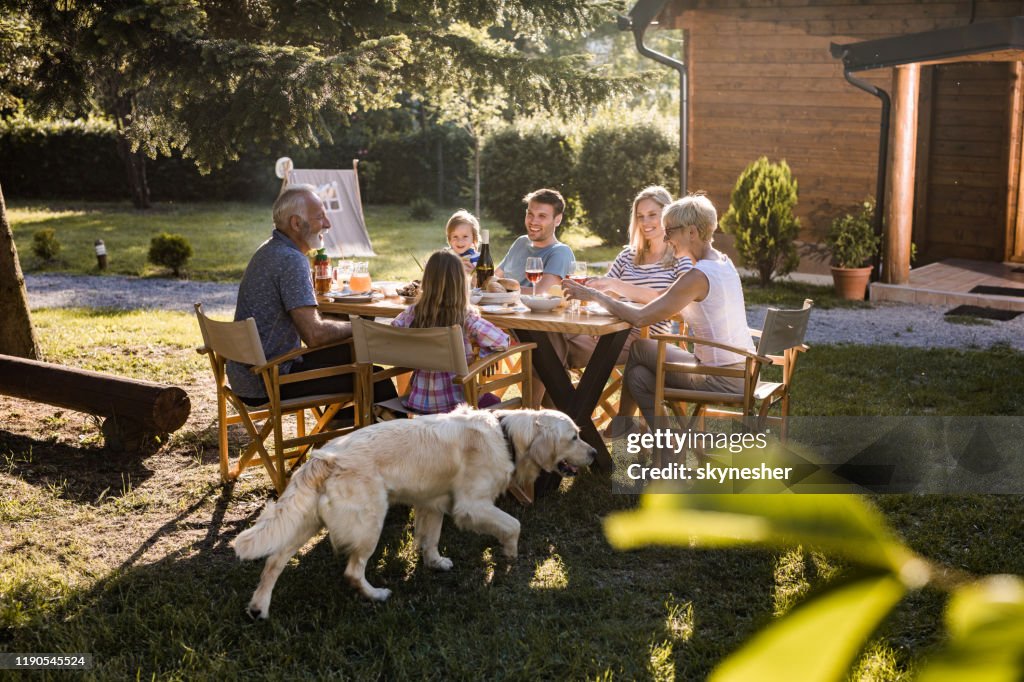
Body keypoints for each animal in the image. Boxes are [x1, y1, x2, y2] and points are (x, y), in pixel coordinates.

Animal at [234, 405, 593, 618]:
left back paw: (258, 607)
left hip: (305, 521)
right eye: (574, 436)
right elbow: (513, 524)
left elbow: (430, 539)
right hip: (369, 522)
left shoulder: (432, 502)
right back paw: (376, 594)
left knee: (274, 561)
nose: (593, 454)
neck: (505, 436)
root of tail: (323, 458)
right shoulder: (471, 505)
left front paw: (435, 563)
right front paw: (510, 553)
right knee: (352, 571)